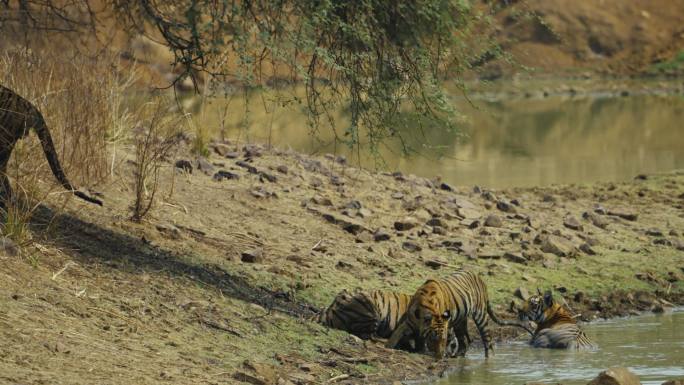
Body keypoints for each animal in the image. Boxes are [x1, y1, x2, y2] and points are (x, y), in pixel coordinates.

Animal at [388, 268, 532, 358]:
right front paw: (388, 346)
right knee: (465, 340)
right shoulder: (408, 321)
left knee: (487, 341)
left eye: (443, 338)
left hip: (480, 315)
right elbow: (395, 335)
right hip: (460, 321)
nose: (439, 357)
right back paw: (458, 355)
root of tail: (479, 278)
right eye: (433, 337)